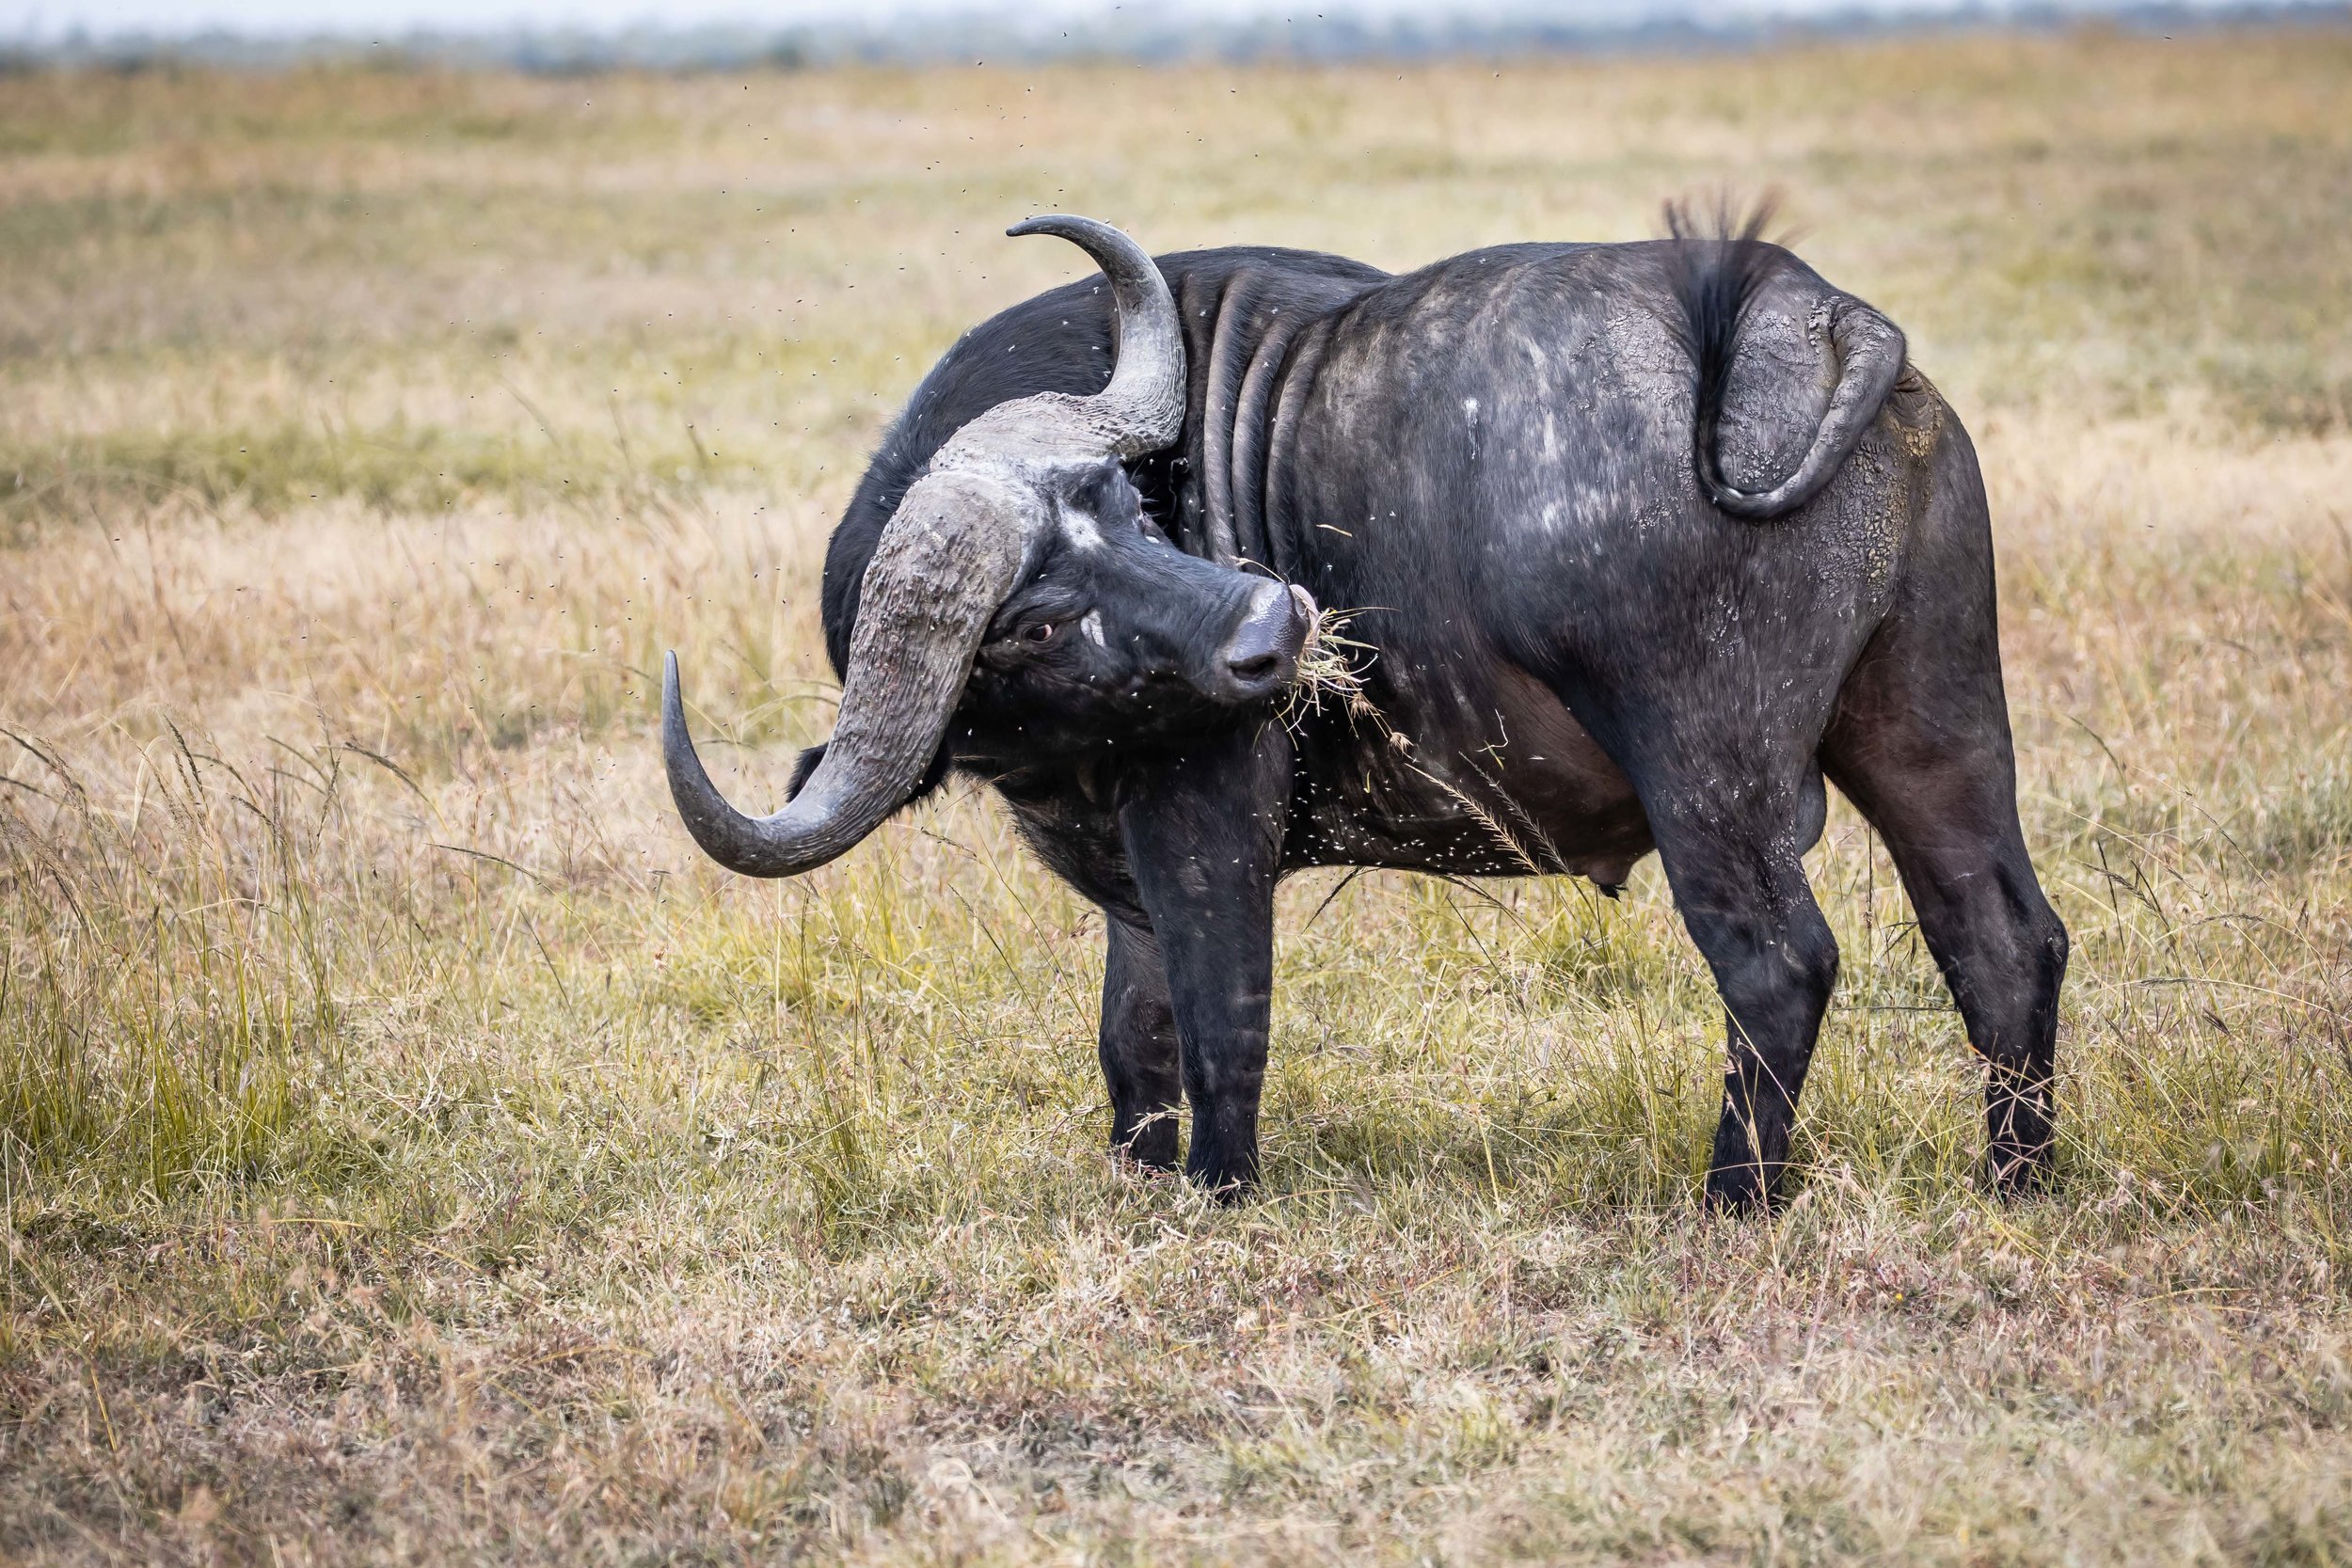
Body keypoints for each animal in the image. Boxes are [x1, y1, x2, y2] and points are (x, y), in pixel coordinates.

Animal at [659, 211, 2060, 1212]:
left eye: (1124, 506)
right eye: (1037, 616)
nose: (1272, 625)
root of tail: (1813, 313)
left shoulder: (1206, 821)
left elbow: (1222, 1017)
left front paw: (1217, 1193)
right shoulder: (1128, 878)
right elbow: (1133, 1036)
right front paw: (1138, 1177)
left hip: (1709, 770)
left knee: (1778, 961)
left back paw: (1733, 1199)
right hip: (1934, 726)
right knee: (2005, 937)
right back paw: (2017, 1179)